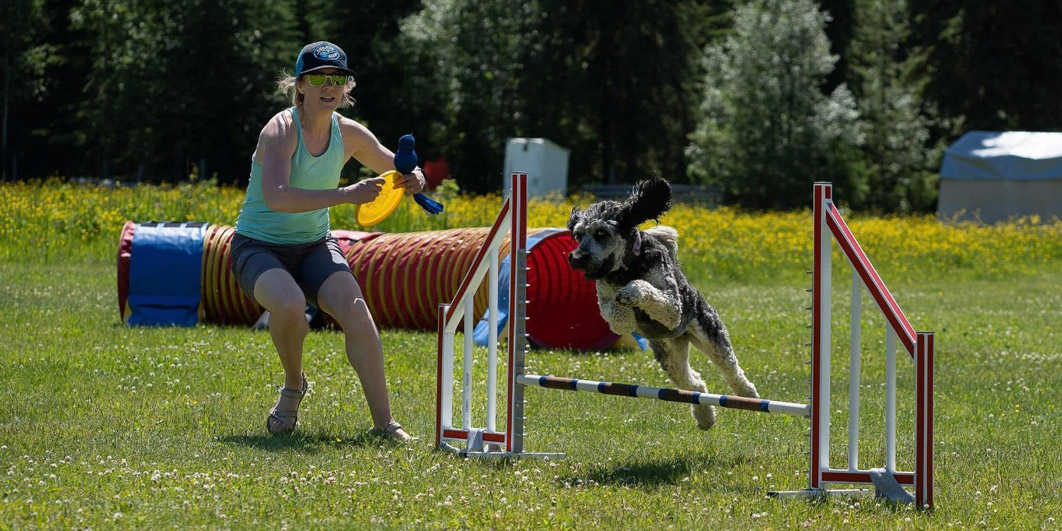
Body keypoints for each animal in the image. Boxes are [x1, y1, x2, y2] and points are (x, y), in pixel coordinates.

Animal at [569, 176, 760, 429]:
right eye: (579, 235)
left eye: (601, 233)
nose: (576, 258)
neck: (627, 268)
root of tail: (683, 335)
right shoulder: (605, 299)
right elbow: (615, 315)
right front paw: (626, 316)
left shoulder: (672, 306)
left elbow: (646, 289)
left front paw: (630, 294)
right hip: (670, 357)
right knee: (694, 383)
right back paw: (705, 417)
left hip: (709, 336)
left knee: (731, 369)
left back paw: (748, 396)